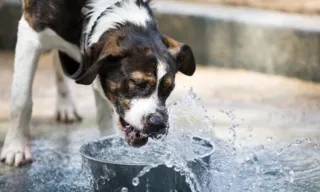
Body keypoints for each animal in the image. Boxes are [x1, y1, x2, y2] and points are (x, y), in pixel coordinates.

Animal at [0, 0, 196, 166]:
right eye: (138, 83)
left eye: (169, 88)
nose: (158, 125)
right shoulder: (30, 32)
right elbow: (21, 102)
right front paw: (15, 147)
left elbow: (104, 115)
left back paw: (65, 105)